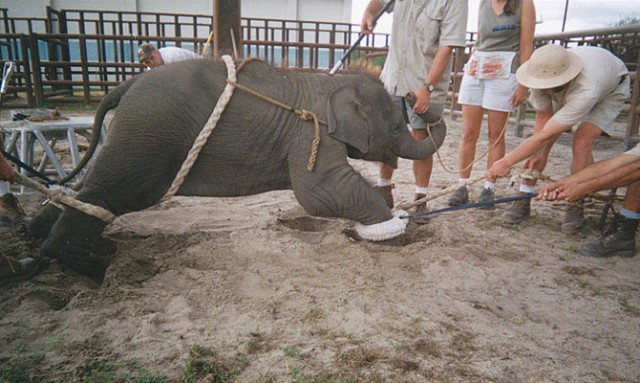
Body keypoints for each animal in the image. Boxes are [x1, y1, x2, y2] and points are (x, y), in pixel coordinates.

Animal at [26, 57, 444, 280]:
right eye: (396, 128)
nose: (416, 97)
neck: (331, 83)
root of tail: (125, 86)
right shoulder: (311, 133)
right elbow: (321, 192)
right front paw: (395, 231)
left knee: (91, 192)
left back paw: (45, 240)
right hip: (147, 137)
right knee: (109, 193)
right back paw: (96, 267)